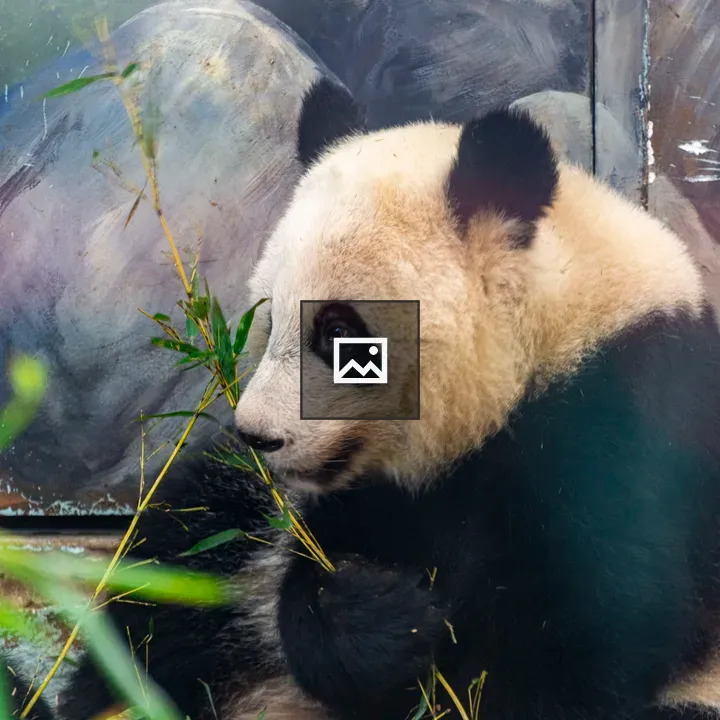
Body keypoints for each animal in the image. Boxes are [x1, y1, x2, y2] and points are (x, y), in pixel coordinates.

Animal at [26, 78, 720, 720]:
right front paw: (384, 614)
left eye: (339, 332)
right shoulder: (352, 500)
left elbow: (586, 634)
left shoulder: (625, 420)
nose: (258, 436)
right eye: (268, 319)